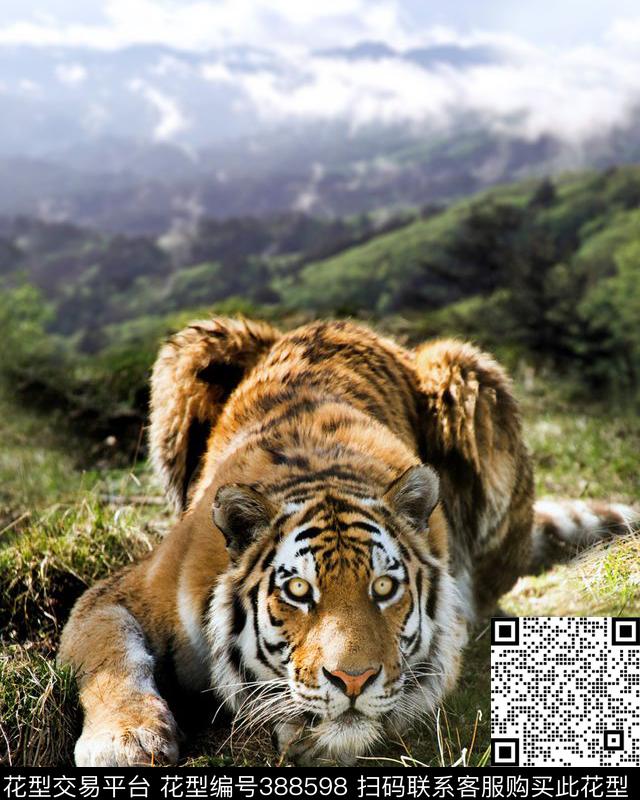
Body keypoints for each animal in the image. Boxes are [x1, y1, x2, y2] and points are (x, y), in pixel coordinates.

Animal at [58, 318, 636, 766]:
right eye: (297, 592)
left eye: (383, 588)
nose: (353, 681)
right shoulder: (120, 592)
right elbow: (110, 656)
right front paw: (125, 741)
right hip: (196, 345)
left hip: (468, 372)